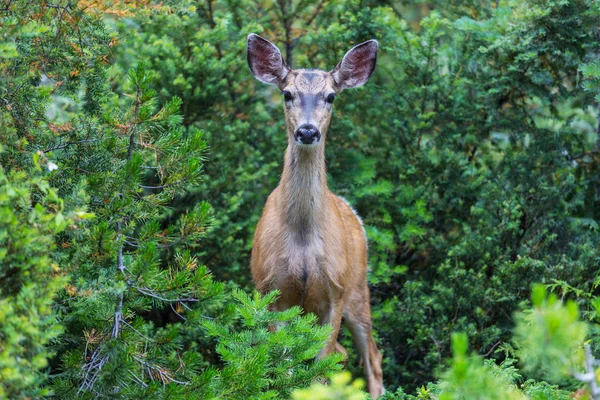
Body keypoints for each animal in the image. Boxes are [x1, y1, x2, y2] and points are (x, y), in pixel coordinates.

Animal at [247, 32, 384, 398]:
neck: (303, 237)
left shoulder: (335, 290)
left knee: (371, 356)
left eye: (331, 96)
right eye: (287, 93)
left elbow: (319, 369)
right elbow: (289, 369)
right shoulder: (271, 290)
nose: (307, 131)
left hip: (358, 288)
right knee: (345, 354)